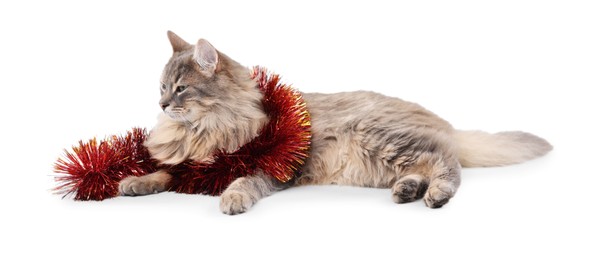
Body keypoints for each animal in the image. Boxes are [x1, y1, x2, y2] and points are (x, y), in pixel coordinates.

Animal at [119, 31, 552, 215]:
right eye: (162, 87)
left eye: (181, 89)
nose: (161, 103)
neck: (204, 130)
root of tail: (441, 122)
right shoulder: (191, 166)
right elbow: (163, 172)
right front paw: (134, 182)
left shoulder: (271, 168)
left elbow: (244, 181)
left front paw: (233, 199)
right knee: (426, 165)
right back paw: (408, 189)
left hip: (380, 137)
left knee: (447, 163)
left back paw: (436, 194)